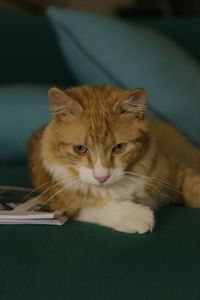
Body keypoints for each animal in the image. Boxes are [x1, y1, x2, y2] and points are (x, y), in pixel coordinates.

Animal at [27, 85, 200, 233]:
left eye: (119, 147)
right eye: (80, 149)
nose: (102, 177)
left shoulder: (174, 170)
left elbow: (194, 186)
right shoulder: (62, 202)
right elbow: (100, 205)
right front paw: (137, 215)